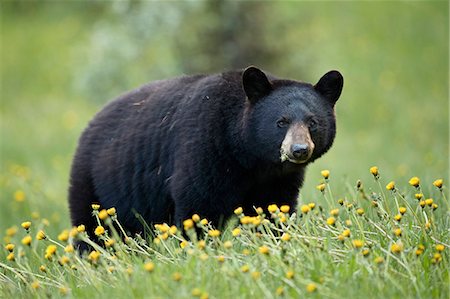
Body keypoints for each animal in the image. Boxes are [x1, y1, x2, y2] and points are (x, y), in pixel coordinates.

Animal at [68, 67, 342, 238]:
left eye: (312, 122)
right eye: (281, 122)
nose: (299, 150)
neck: (250, 159)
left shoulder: (276, 180)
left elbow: (273, 208)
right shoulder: (205, 150)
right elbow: (198, 205)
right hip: (94, 183)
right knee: (90, 228)